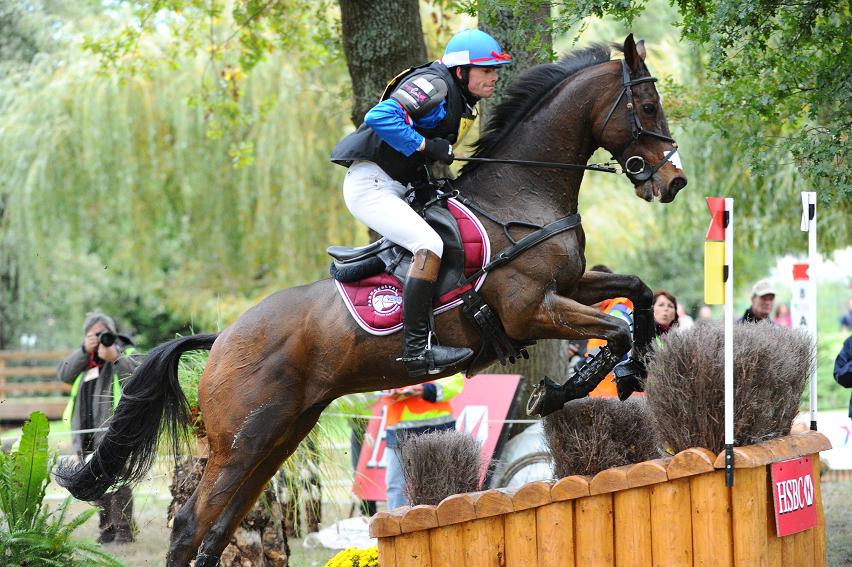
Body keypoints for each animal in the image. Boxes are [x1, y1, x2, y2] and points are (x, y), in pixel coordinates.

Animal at [56, 35, 684, 567]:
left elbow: (635, 294)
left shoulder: (569, 288)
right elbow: (614, 329)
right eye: (648, 105)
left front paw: (628, 372)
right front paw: (569, 388)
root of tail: (222, 339)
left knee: (219, 528)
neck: (518, 198)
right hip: (241, 441)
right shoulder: (530, 310)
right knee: (191, 525)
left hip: (280, 435)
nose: (674, 181)